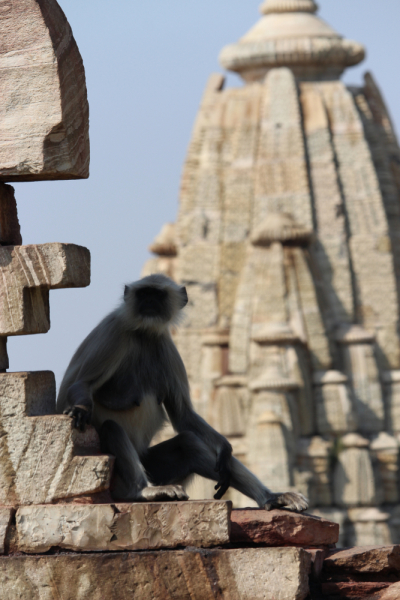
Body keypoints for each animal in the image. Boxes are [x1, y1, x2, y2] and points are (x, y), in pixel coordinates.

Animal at [57, 274, 310, 510]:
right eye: (143, 293)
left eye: (157, 295)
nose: (148, 302)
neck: (144, 333)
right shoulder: (113, 332)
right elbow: (80, 385)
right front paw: (79, 409)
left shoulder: (166, 346)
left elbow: (183, 415)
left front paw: (226, 448)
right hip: (116, 481)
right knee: (111, 428)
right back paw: (143, 491)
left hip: (151, 464)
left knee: (189, 443)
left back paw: (271, 497)